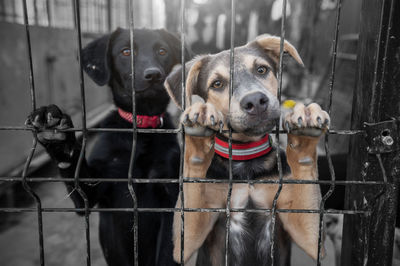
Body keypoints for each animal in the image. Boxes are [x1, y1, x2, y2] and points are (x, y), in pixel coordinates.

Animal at [26, 28, 189, 264]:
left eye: (162, 51)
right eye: (125, 51)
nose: (153, 75)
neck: (140, 129)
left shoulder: (170, 195)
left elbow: (168, 251)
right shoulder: (91, 194)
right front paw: (58, 137)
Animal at [164, 34, 330, 264]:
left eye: (261, 69)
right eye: (217, 84)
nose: (255, 101)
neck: (246, 158)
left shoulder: (310, 234)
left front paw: (305, 127)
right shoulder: (185, 239)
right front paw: (199, 122)